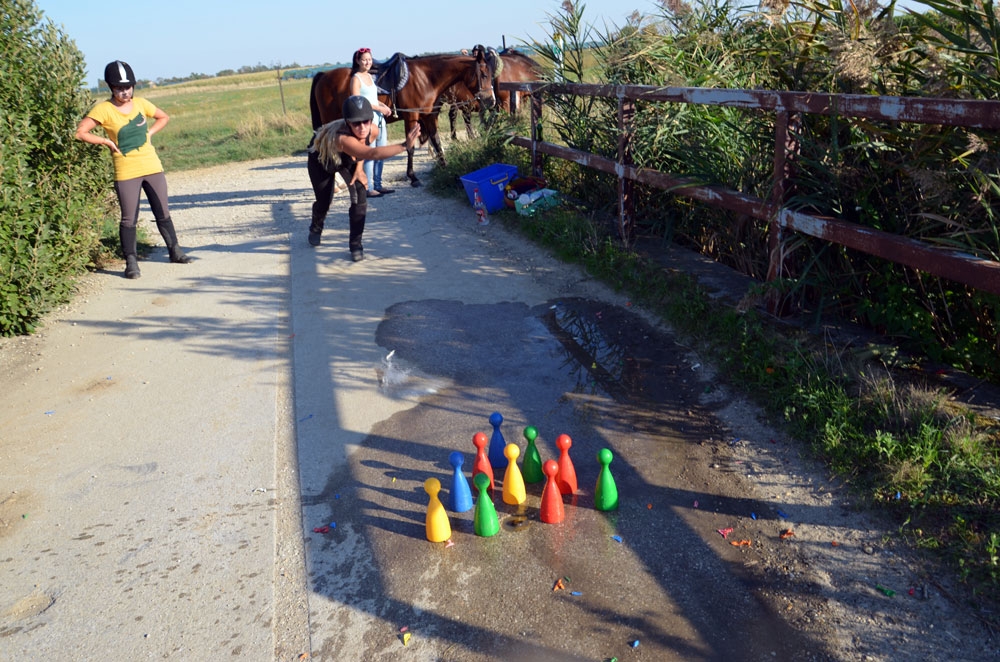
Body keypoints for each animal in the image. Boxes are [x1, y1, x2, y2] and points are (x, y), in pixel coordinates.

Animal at [308, 51, 496, 187]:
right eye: (484, 74)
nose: (491, 100)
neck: (425, 78)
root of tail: (323, 75)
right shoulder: (411, 116)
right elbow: (410, 147)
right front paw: (413, 177)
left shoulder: (428, 116)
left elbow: (436, 141)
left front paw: (445, 168)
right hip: (330, 119)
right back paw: (339, 183)